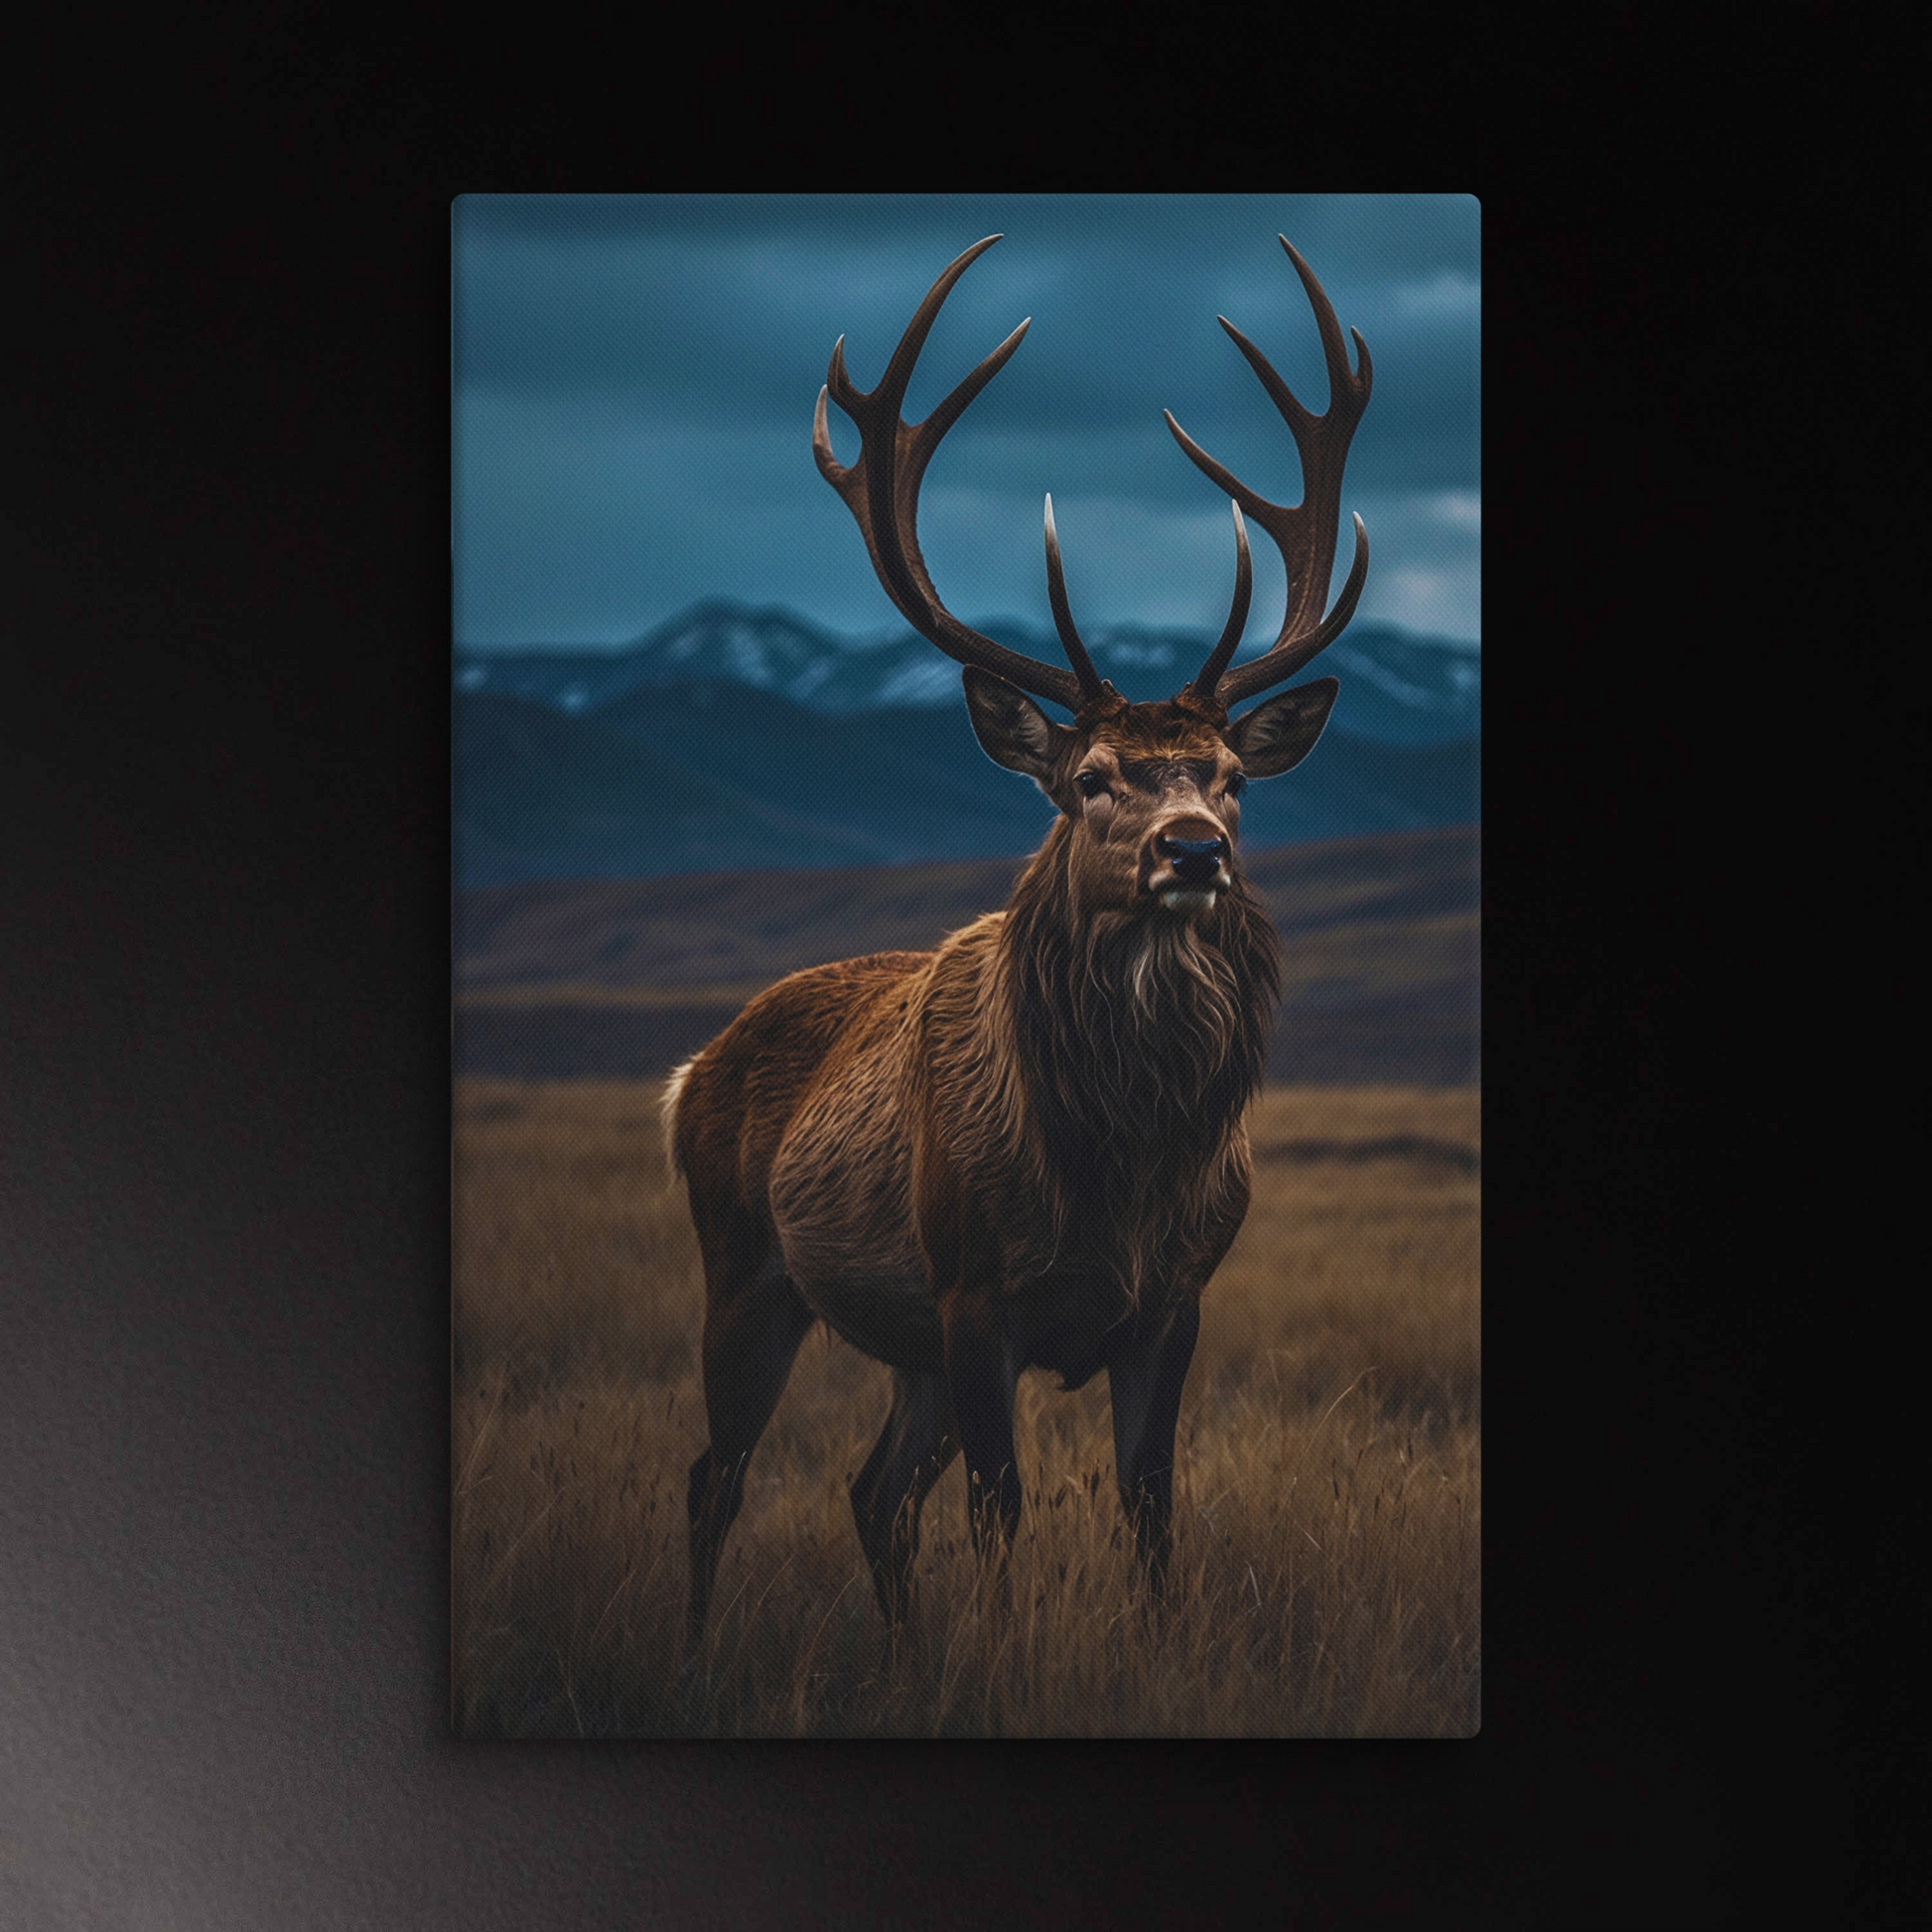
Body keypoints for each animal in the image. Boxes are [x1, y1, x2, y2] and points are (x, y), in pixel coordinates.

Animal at [666, 234, 1371, 1646]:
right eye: (1090, 777)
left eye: (1230, 779)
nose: (1191, 851)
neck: (1121, 1165)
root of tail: (686, 1074)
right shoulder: (973, 1290)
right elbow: (1000, 1509)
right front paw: (996, 1654)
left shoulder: (1172, 1300)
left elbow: (1149, 1507)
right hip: (749, 1264)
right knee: (719, 1473)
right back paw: (699, 1643)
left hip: (903, 1349)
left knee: (870, 1489)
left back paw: (896, 1647)